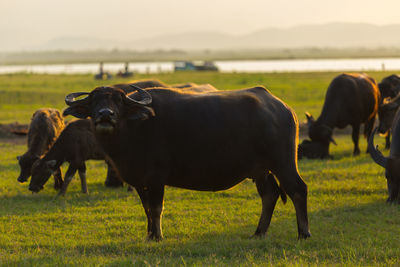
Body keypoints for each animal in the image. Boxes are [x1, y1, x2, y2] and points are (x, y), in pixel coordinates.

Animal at [61, 85, 310, 242]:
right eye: (94, 101)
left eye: (118, 101)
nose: (105, 114)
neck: (134, 130)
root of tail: (283, 108)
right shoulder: (140, 180)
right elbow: (146, 208)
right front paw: (149, 234)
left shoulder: (157, 178)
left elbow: (156, 207)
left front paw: (158, 236)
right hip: (260, 170)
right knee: (270, 194)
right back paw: (259, 232)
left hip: (283, 162)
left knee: (297, 189)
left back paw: (303, 233)